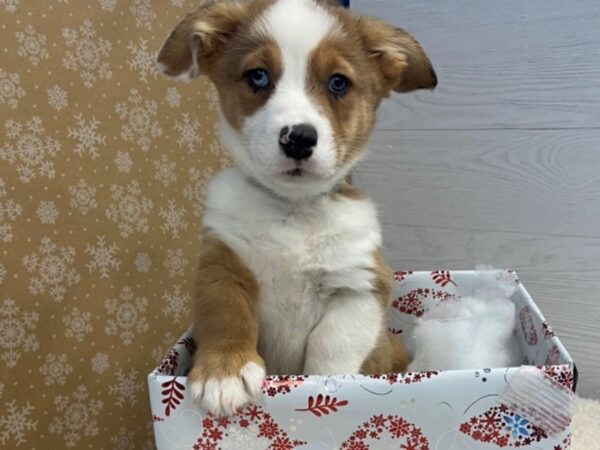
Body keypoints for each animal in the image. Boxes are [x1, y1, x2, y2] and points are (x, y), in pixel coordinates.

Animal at [156, 0, 436, 416]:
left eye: (338, 82)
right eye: (257, 76)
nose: (299, 138)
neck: (294, 211)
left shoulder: (361, 284)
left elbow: (332, 342)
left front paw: (325, 384)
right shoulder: (220, 265)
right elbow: (225, 314)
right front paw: (224, 373)